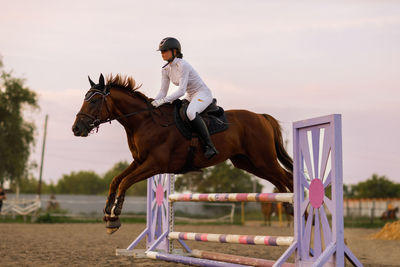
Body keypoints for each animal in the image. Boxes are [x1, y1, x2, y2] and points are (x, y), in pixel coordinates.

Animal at [72, 74, 292, 234]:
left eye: (94, 101)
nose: (76, 128)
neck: (144, 122)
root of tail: (262, 117)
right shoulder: (140, 161)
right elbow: (116, 181)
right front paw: (107, 213)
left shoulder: (155, 164)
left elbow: (125, 182)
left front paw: (114, 217)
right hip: (248, 162)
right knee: (280, 179)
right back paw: (289, 206)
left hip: (263, 159)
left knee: (287, 177)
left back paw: (296, 208)